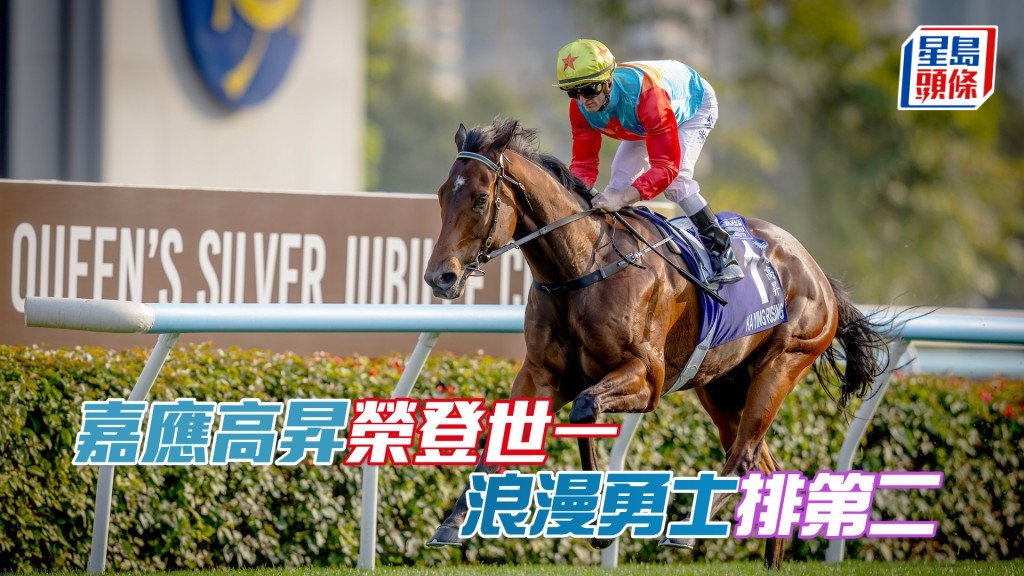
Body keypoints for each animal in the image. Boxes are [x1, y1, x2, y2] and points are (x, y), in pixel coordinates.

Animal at [422, 117, 889, 568]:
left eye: (480, 198)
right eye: (442, 195)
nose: (439, 276)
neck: (583, 268)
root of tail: (816, 270)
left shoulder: (647, 377)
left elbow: (585, 409)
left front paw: (599, 523)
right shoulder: (543, 374)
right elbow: (513, 433)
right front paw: (452, 523)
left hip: (783, 363)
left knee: (743, 457)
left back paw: (683, 531)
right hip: (721, 384)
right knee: (764, 464)